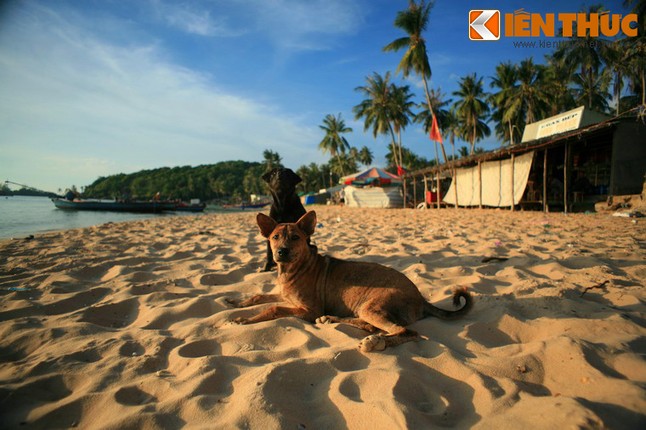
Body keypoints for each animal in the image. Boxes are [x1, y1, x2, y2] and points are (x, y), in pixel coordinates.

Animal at [230, 210, 474, 352]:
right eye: (275, 237)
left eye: (296, 238)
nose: (281, 252)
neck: (294, 269)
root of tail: (421, 299)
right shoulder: (285, 295)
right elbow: (259, 295)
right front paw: (236, 303)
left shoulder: (308, 309)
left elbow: (274, 308)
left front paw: (245, 320)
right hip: (365, 308)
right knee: (369, 325)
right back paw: (331, 319)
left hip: (371, 307)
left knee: (406, 332)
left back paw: (376, 343)